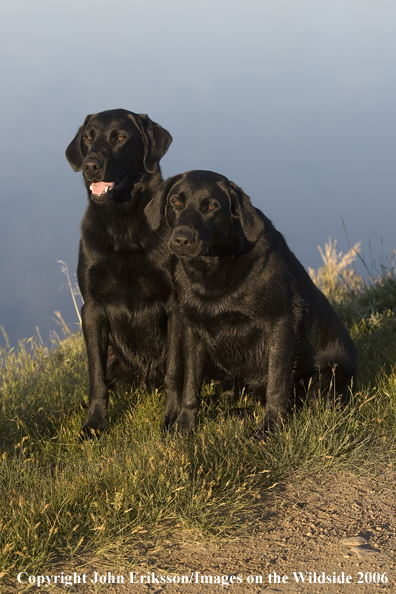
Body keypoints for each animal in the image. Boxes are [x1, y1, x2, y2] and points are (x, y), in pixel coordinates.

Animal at [65, 106, 172, 432]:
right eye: (88, 137)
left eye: (121, 137)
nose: (90, 165)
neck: (123, 224)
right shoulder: (93, 308)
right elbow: (96, 378)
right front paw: (94, 424)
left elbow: (177, 371)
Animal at [144, 169, 358, 432]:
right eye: (176, 202)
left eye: (211, 206)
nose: (183, 239)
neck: (213, 272)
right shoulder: (193, 330)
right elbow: (190, 387)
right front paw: (183, 426)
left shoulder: (280, 323)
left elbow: (277, 384)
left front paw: (269, 429)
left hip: (324, 381)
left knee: (301, 403)